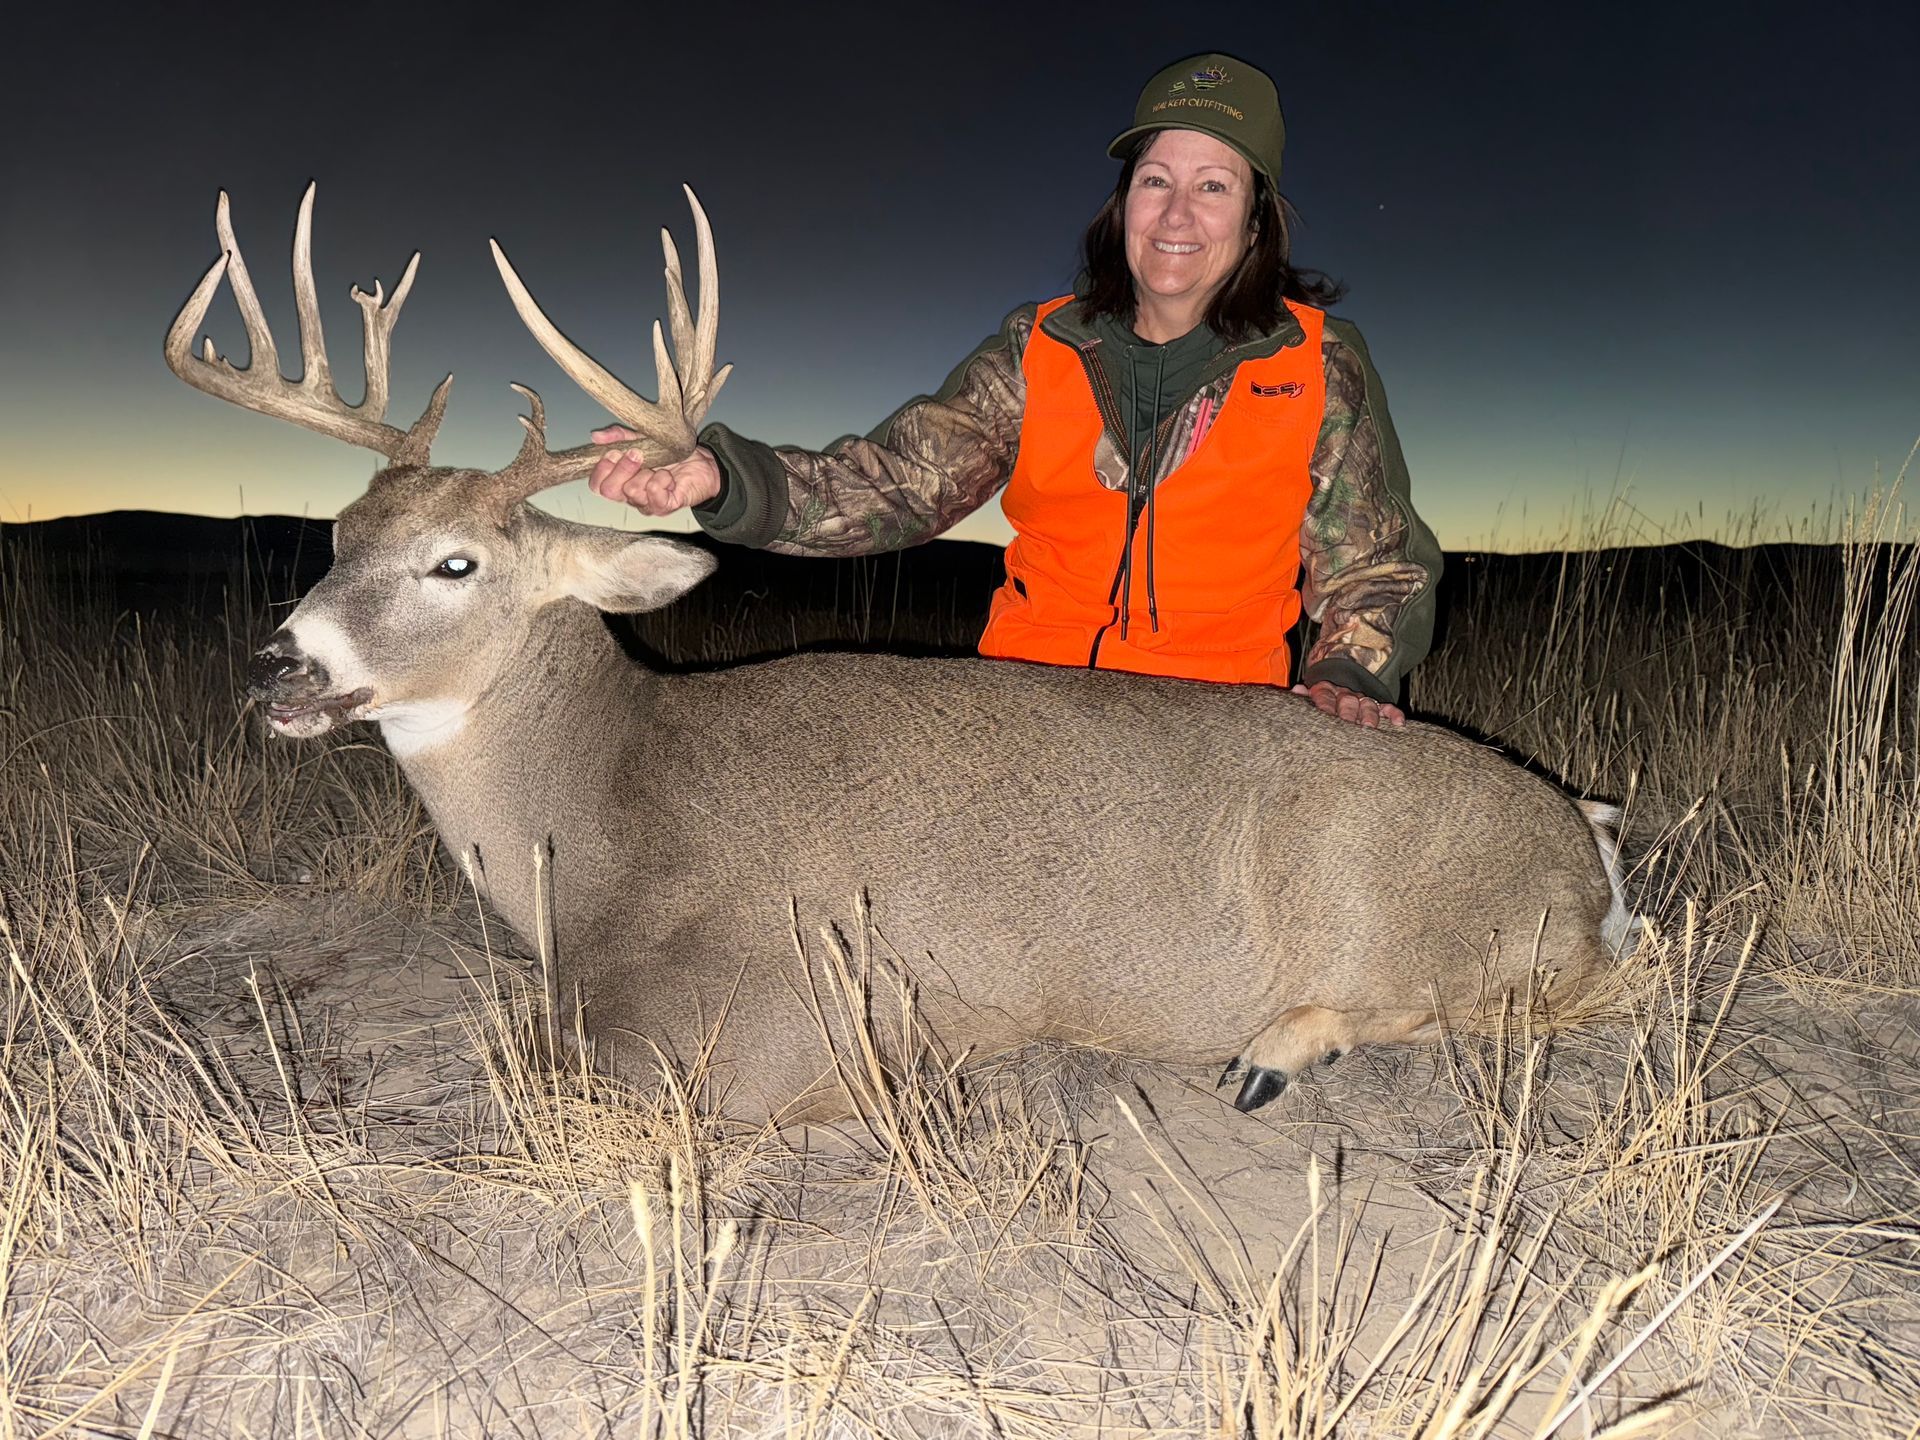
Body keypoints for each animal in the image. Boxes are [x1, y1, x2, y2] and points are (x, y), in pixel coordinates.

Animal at [166, 184, 1637, 1123]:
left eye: (457, 563)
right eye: (338, 535)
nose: (278, 667)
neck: (601, 819)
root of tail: (1580, 835)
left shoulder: (773, 1009)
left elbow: (554, 1065)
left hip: (1460, 938)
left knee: (1587, 991)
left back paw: (1279, 1048)